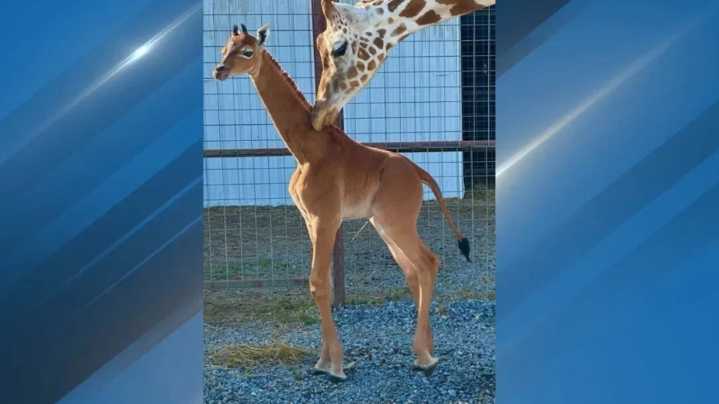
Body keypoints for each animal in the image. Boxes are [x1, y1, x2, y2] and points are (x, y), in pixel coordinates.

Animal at [213, 24, 471, 380]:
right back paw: (427, 350)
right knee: (413, 269)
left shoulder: (326, 218)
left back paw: (424, 356)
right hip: (383, 225)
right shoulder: (310, 220)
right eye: (224, 47)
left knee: (428, 262)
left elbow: (318, 282)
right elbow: (323, 283)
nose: (219, 70)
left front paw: (334, 364)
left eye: (248, 51)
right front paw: (324, 360)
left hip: (397, 221)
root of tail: (419, 172)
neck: (307, 150)